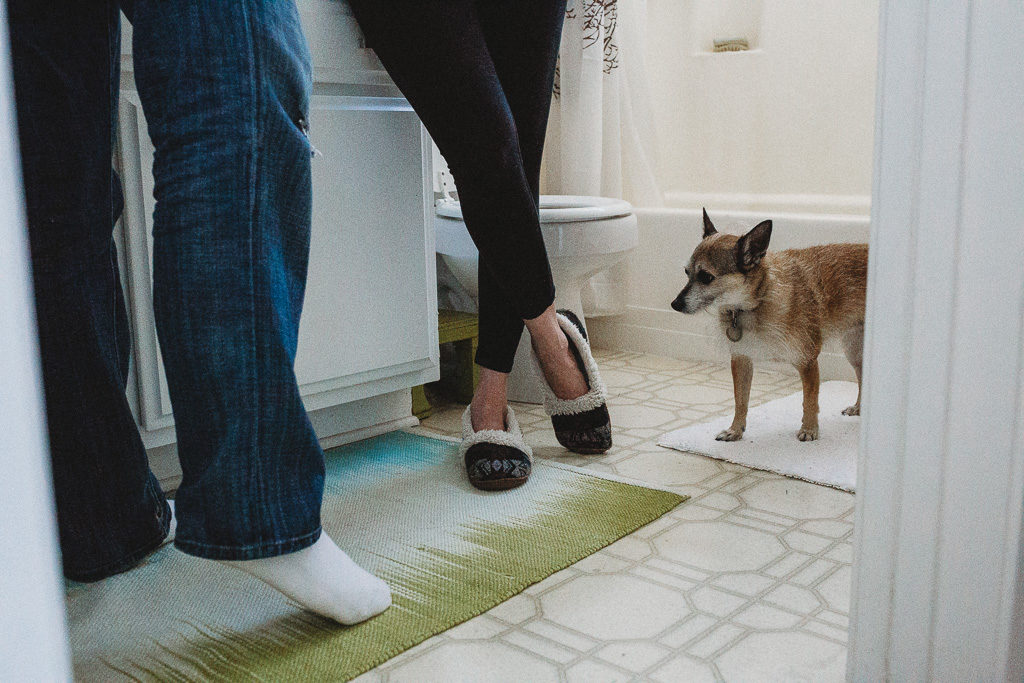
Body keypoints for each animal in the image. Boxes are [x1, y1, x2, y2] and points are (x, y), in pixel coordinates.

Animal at [671, 209, 872, 444]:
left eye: (706, 277)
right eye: (687, 273)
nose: (675, 304)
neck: (754, 303)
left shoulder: (807, 362)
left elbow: (809, 400)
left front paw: (809, 428)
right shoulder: (741, 360)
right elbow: (740, 400)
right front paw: (735, 430)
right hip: (855, 351)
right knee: (862, 376)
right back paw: (859, 408)